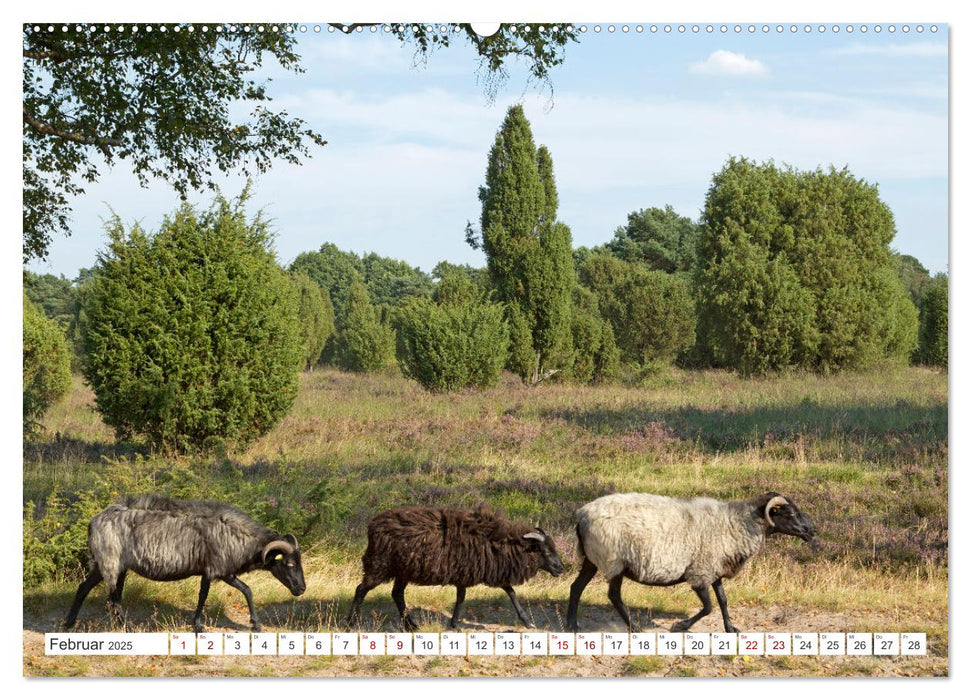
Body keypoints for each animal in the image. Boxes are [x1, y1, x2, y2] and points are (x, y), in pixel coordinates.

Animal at [63, 494, 306, 632]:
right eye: (289, 565)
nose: (302, 589)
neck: (243, 538)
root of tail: (94, 522)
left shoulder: (214, 570)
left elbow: (233, 591)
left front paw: (254, 623)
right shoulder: (218, 569)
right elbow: (227, 593)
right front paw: (200, 625)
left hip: (111, 565)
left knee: (88, 589)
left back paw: (70, 623)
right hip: (110, 561)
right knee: (112, 599)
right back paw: (129, 627)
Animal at [350, 504, 564, 628]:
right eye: (545, 551)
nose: (560, 568)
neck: (500, 542)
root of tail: (373, 525)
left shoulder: (477, 571)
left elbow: (508, 591)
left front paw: (527, 621)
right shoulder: (470, 571)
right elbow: (465, 597)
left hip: (403, 569)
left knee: (397, 594)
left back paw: (411, 625)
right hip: (380, 564)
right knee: (361, 589)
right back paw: (351, 622)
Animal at [564, 492, 816, 636]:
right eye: (790, 513)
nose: (813, 530)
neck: (735, 524)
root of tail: (581, 516)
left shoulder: (714, 569)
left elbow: (723, 600)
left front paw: (730, 628)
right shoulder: (699, 573)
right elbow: (708, 607)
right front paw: (680, 626)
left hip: (592, 559)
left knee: (576, 587)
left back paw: (571, 626)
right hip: (613, 560)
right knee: (614, 595)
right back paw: (633, 627)